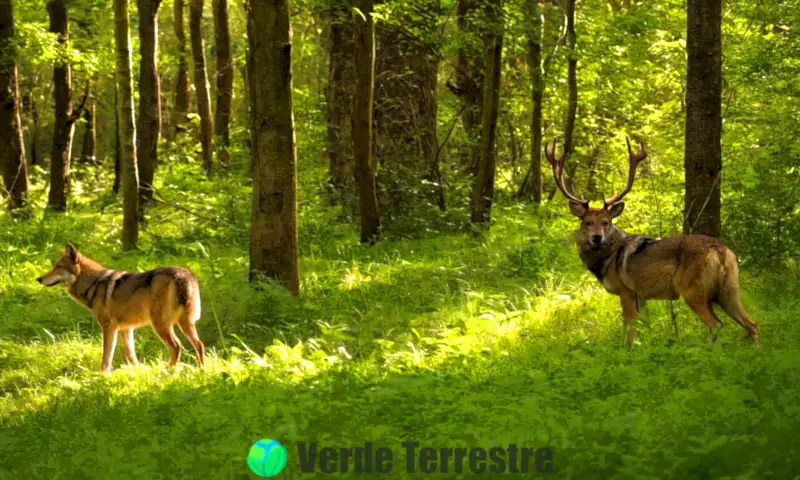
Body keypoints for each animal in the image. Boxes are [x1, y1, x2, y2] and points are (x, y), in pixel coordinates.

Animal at [37, 244, 206, 376]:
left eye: (58, 267)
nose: (39, 279)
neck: (93, 284)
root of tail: (183, 274)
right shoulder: (126, 329)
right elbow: (132, 356)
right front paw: (137, 373)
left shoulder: (108, 327)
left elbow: (106, 356)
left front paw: (102, 376)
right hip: (185, 324)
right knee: (199, 344)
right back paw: (201, 371)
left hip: (161, 326)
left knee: (176, 346)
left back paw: (167, 372)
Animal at [548, 137, 760, 346]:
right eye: (587, 222)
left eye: (606, 222)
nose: (596, 237)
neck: (607, 262)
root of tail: (721, 251)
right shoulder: (641, 296)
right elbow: (645, 327)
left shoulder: (626, 291)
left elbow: (630, 331)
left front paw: (628, 350)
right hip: (728, 290)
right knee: (751, 324)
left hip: (693, 290)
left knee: (716, 324)